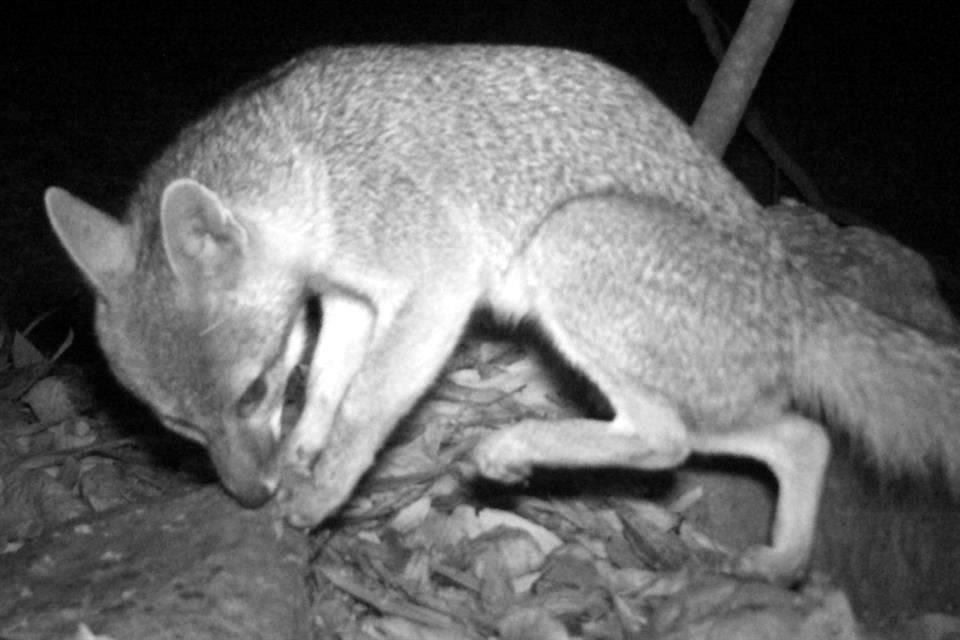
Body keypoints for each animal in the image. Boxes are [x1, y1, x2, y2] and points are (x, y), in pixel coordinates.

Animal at [41, 45, 956, 584]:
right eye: (179, 429)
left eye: (252, 390)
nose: (248, 496)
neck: (311, 163)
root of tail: (800, 290)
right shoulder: (347, 298)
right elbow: (332, 385)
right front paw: (305, 452)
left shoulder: (436, 283)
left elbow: (367, 405)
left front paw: (325, 487)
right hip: (701, 380)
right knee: (803, 437)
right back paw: (782, 561)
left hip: (568, 247)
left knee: (667, 439)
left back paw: (510, 447)